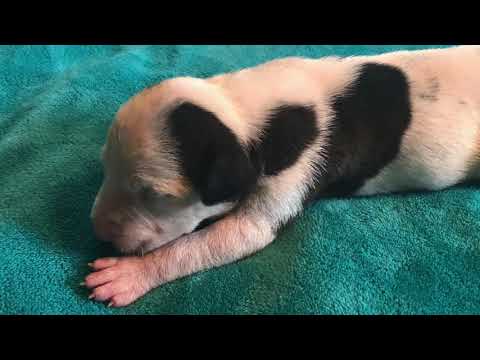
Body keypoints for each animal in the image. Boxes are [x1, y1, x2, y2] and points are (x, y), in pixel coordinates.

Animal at [85, 45, 480, 306]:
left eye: (155, 195)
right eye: (105, 167)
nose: (98, 230)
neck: (242, 108)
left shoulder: (299, 169)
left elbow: (198, 245)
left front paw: (130, 274)